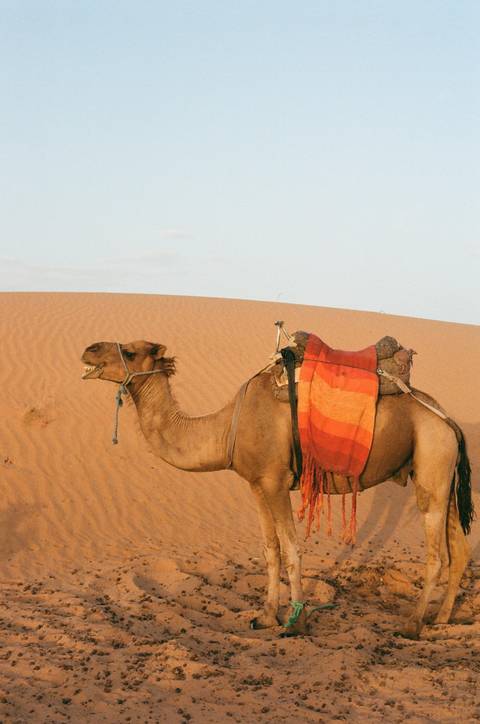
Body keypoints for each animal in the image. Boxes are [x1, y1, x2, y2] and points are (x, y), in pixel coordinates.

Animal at [81, 338, 474, 639]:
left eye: (130, 352)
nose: (88, 350)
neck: (227, 427)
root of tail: (449, 421)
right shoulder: (256, 485)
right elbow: (270, 551)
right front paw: (266, 616)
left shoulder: (274, 482)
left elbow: (292, 550)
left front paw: (296, 623)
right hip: (442, 476)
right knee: (459, 550)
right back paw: (441, 618)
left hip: (432, 462)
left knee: (437, 555)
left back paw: (411, 624)